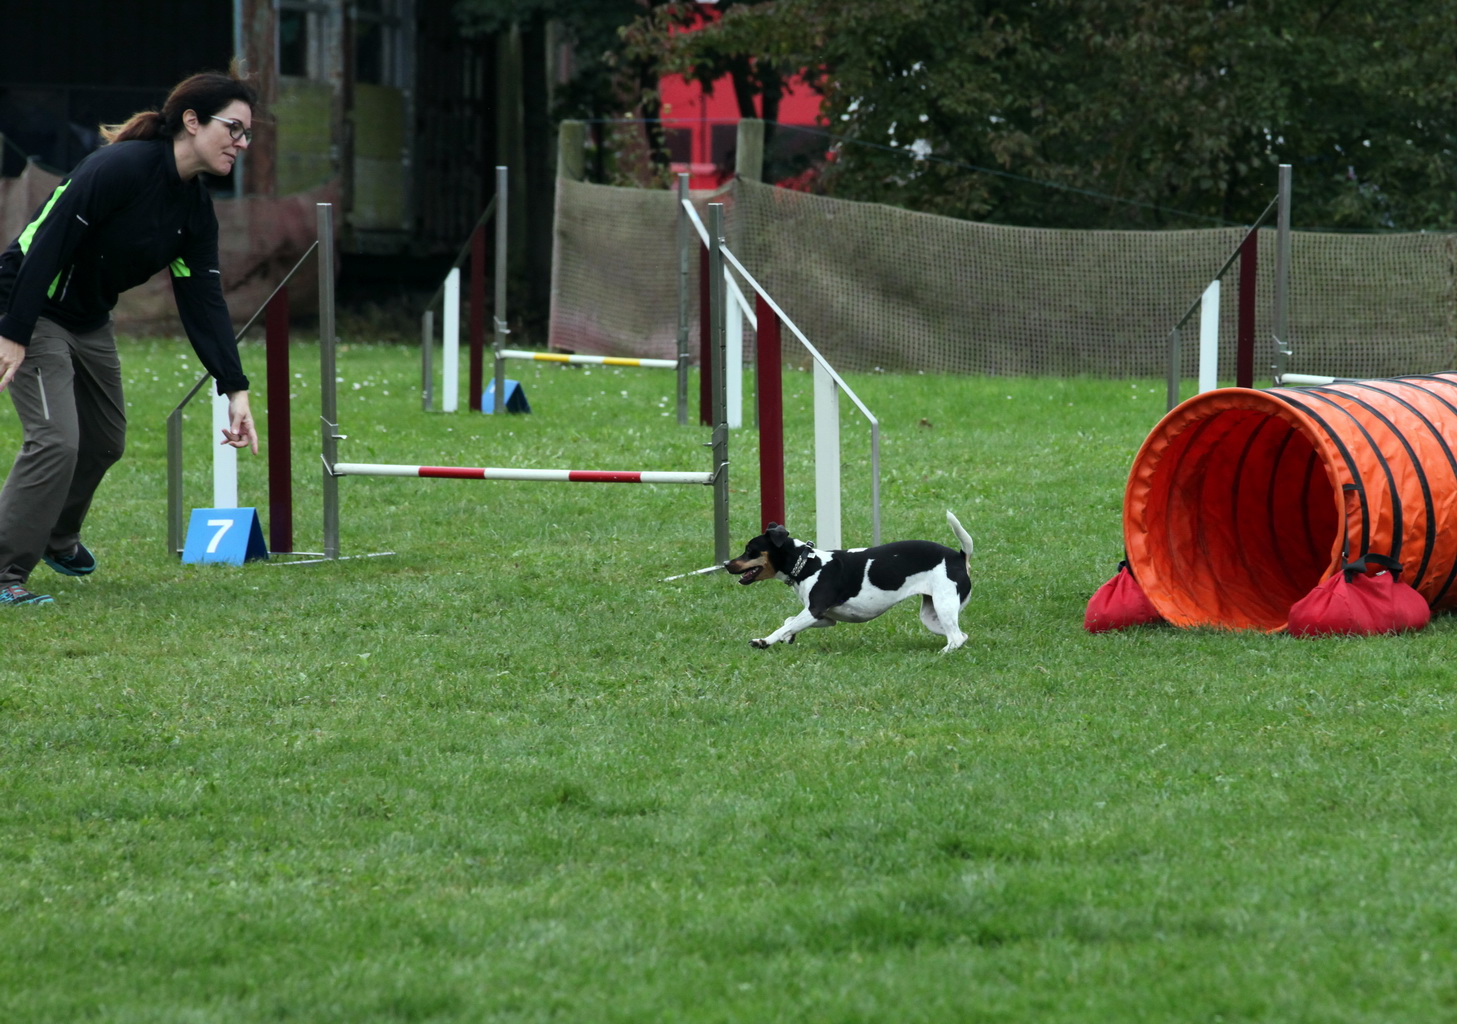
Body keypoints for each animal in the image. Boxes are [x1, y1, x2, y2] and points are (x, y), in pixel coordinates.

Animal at [725, 511, 973, 652]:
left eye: (750, 551)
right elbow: (789, 621)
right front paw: (789, 636)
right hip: (932, 616)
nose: (727, 564)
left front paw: (763, 641)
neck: (807, 565)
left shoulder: (814, 611)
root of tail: (958, 556)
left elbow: (781, 627)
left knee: (956, 638)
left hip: (943, 606)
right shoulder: (825, 617)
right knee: (961, 636)